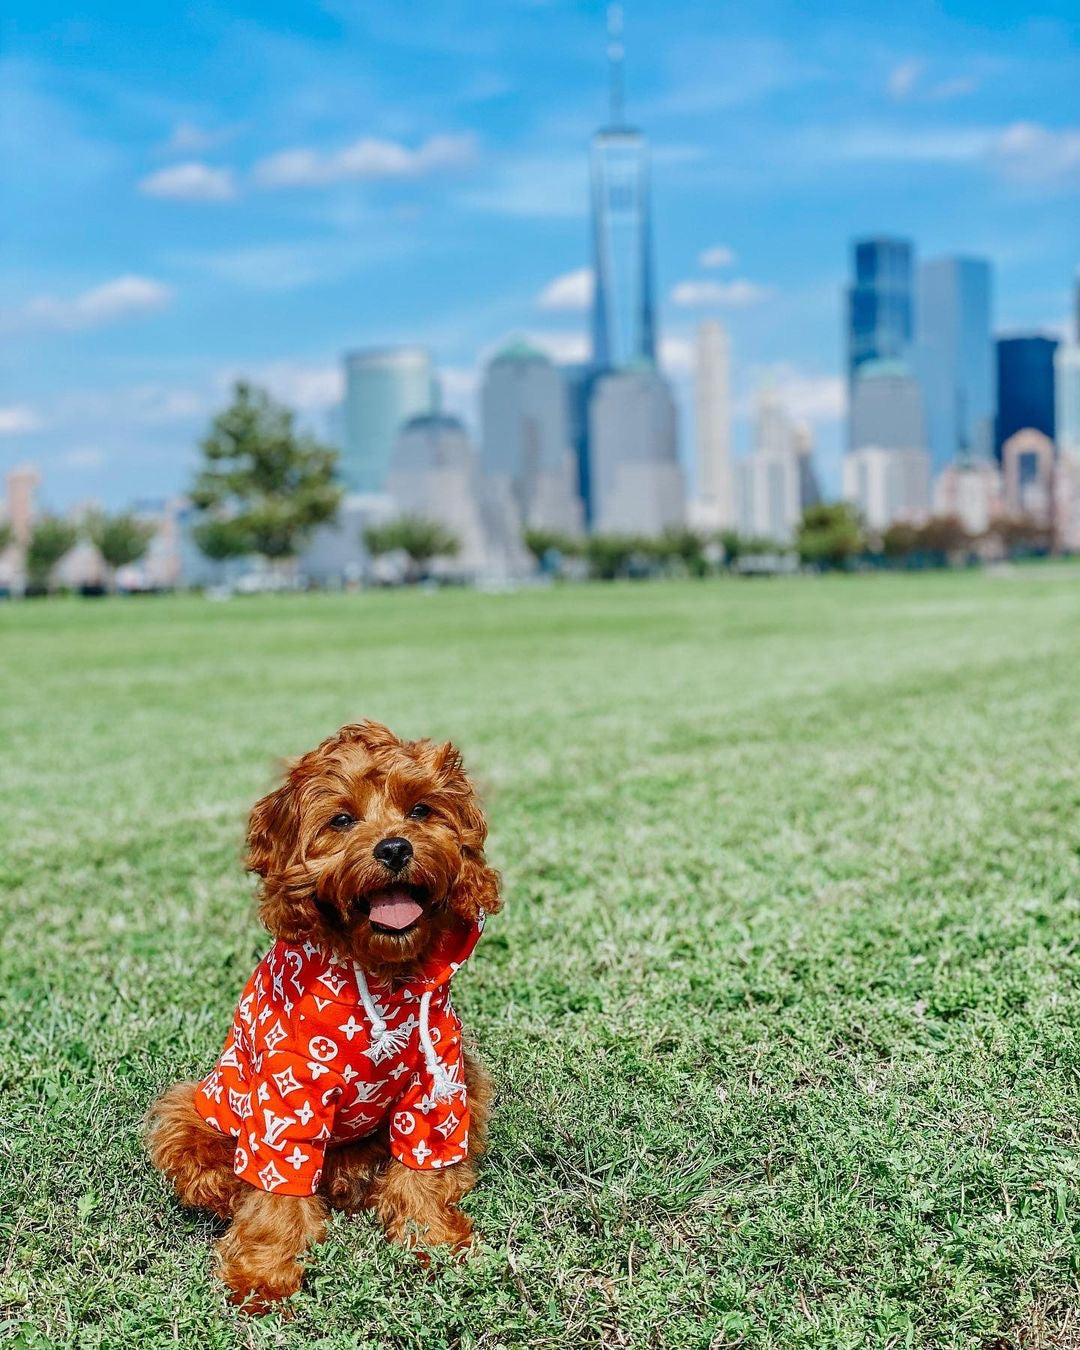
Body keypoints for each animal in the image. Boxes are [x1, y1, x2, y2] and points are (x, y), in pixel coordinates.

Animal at [146, 723, 502, 1312]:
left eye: (421, 809)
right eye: (340, 820)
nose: (395, 847)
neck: (380, 975)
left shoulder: (437, 1084)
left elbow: (422, 1173)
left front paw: (431, 1241)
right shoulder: (287, 1099)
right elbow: (274, 1192)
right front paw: (262, 1275)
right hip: (190, 1115)